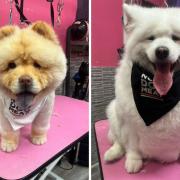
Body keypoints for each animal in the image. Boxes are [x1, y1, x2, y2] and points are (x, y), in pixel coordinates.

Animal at [0, 21, 67, 153]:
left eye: (37, 65)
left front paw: (38, 138)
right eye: (11, 65)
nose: (25, 80)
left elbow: (39, 126)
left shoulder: (45, 109)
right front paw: (9, 144)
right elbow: (8, 131)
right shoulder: (3, 114)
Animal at [104, 4, 180, 173]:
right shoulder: (131, 122)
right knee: (118, 141)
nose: (162, 51)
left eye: (176, 38)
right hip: (114, 112)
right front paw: (134, 160)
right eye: (151, 38)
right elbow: (132, 146)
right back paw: (113, 153)